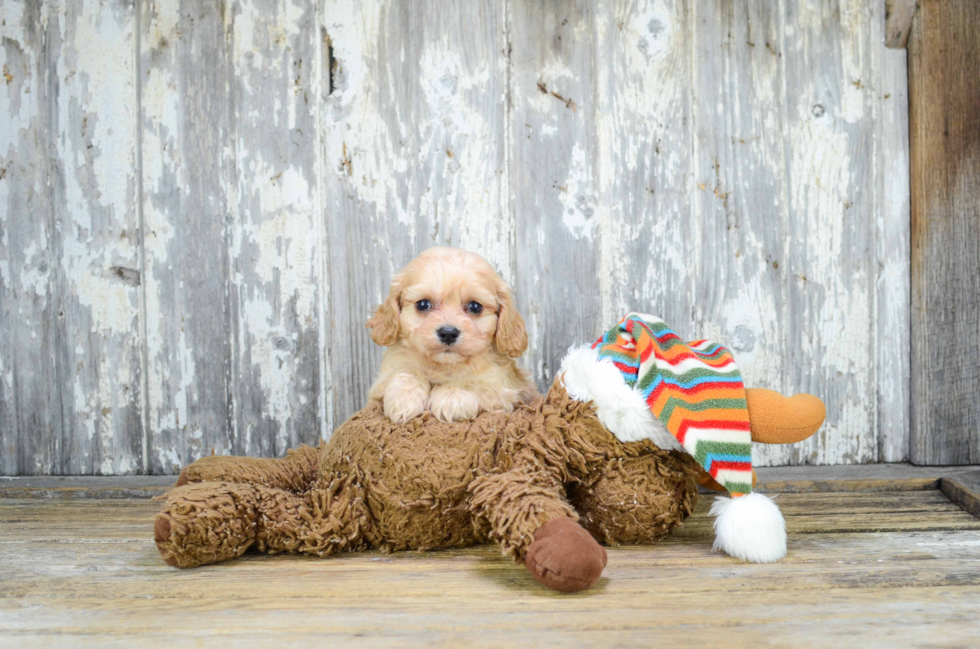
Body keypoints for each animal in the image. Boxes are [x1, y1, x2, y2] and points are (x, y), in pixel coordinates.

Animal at [366, 246, 536, 422]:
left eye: (475, 307)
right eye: (423, 304)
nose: (448, 333)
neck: (444, 364)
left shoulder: (505, 387)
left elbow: (475, 382)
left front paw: (451, 397)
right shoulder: (381, 381)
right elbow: (406, 370)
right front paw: (404, 398)